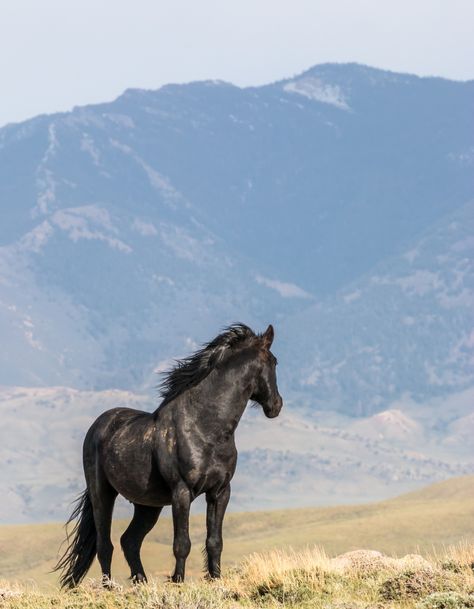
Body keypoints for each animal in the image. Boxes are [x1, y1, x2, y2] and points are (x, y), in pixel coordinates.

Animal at [57, 326, 284, 588]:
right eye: (274, 361)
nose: (276, 405)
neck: (205, 426)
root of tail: (98, 425)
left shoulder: (220, 491)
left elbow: (215, 541)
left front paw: (215, 579)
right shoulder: (182, 492)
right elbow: (182, 543)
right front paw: (178, 581)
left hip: (147, 505)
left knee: (130, 541)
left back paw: (141, 582)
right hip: (102, 493)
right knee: (106, 544)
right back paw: (109, 588)